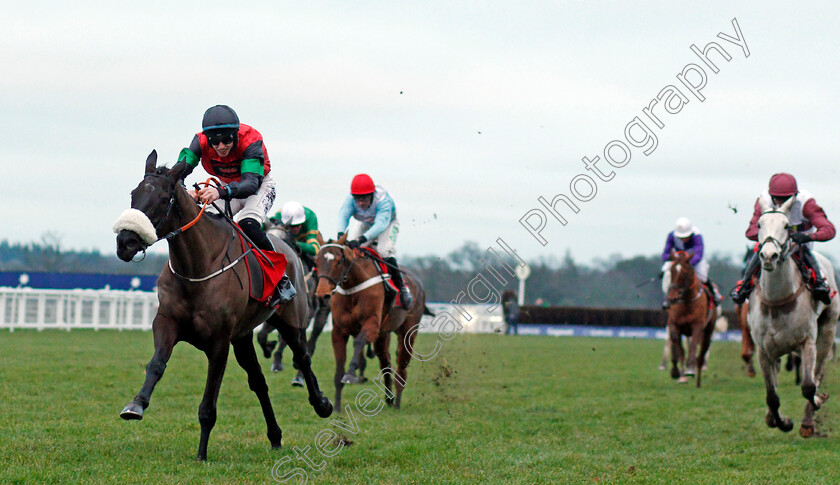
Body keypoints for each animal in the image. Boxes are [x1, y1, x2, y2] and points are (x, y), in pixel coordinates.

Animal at [110, 151, 332, 462]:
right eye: (134, 194)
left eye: (164, 198)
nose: (125, 242)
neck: (197, 266)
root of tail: (289, 250)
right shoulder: (167, 322)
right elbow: (156, 364)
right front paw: (136, 404)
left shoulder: (219, 342)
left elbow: (208, 404)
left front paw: (201, 454)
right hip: (243, 337)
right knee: (258, 381)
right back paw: (275, 436)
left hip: (292, 322)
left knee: (302, 357)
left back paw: (322, 404)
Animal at [318, 236, 430, 410]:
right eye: (317, 260)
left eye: (338, 261)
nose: (322, 295)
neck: (353, 287)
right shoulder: (339, 331)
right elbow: (339, 369)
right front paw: (336, 407)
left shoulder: (371, 326)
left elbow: (358, 342)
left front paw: (351, 374)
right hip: (383, 336)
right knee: (386, 364)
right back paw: (389, 400)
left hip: (408, 332)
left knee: (401, 366)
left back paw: (397, 403)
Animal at [664, 250, 716, 386]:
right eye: (672, 270)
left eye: (685, 272)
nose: (673, 297)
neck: (686, 301)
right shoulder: (674, 325)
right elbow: (679, 348)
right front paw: (679, 374)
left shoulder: (697, 325)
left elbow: (693, 347)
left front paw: (690, 369)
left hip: (708, 330)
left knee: (702, 352)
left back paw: (697, 379)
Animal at [748, 195, 832, 436]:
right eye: (759, 225)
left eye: (786, 226)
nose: (768, 256)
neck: (778, 301)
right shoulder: (764, 351)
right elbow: (772, 396)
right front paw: (782, 422)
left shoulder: (807, 342)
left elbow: (809, 386)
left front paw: (816, 404)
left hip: (827, 330)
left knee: (818, 373)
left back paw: (808, 421)